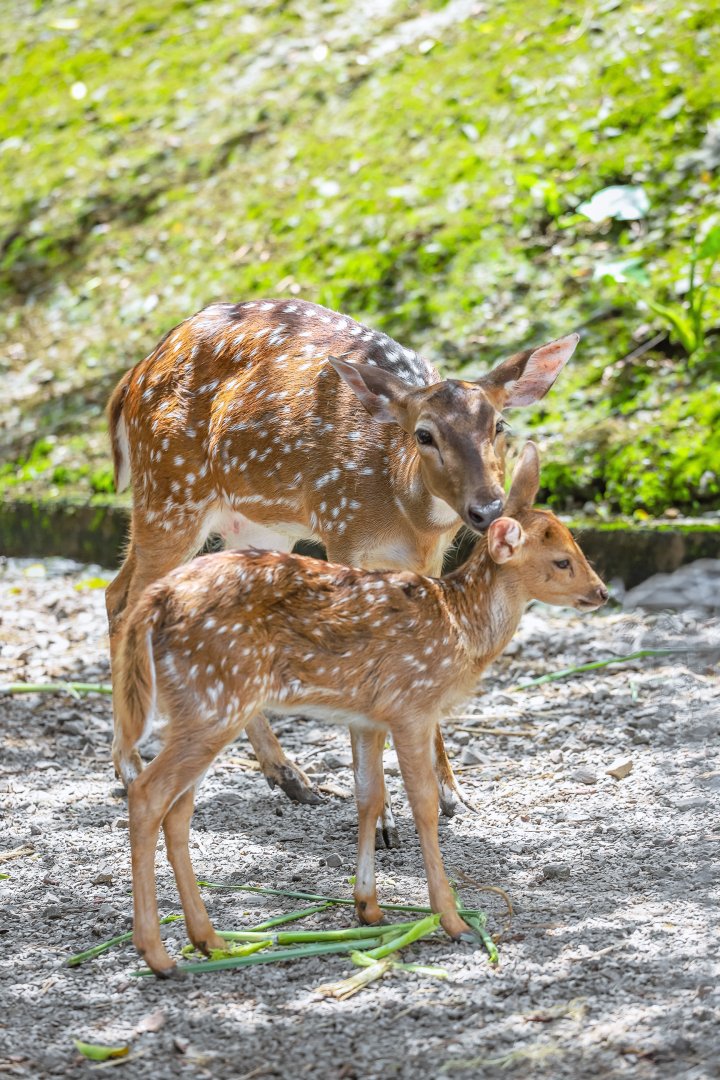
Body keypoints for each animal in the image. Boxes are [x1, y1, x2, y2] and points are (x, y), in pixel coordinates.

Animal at [106, 297, 580, 843]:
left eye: (499, 427)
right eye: (425, 434)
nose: (487, 509)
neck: (404, 510)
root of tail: (135, 373)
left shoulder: (430, 557)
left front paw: (452, 795)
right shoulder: (342, 527)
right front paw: (384, 819)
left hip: (251, 523)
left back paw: (291, 777)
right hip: (169, 488)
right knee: (122, 599)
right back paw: (129, 767)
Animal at [114, 442, 608, 976]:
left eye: (577, 546)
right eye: (562, 561)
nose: (602, 591)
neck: (459, 625)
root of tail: (155, 604)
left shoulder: (369, 716)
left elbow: (368, 796)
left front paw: (367, 906)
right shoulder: (411, 704)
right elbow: (423, 806)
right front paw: (450, 918)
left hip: (201, 706)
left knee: (178, 809)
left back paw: (209, 940)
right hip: (215, 696)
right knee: (148, 794)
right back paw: (158, 953)